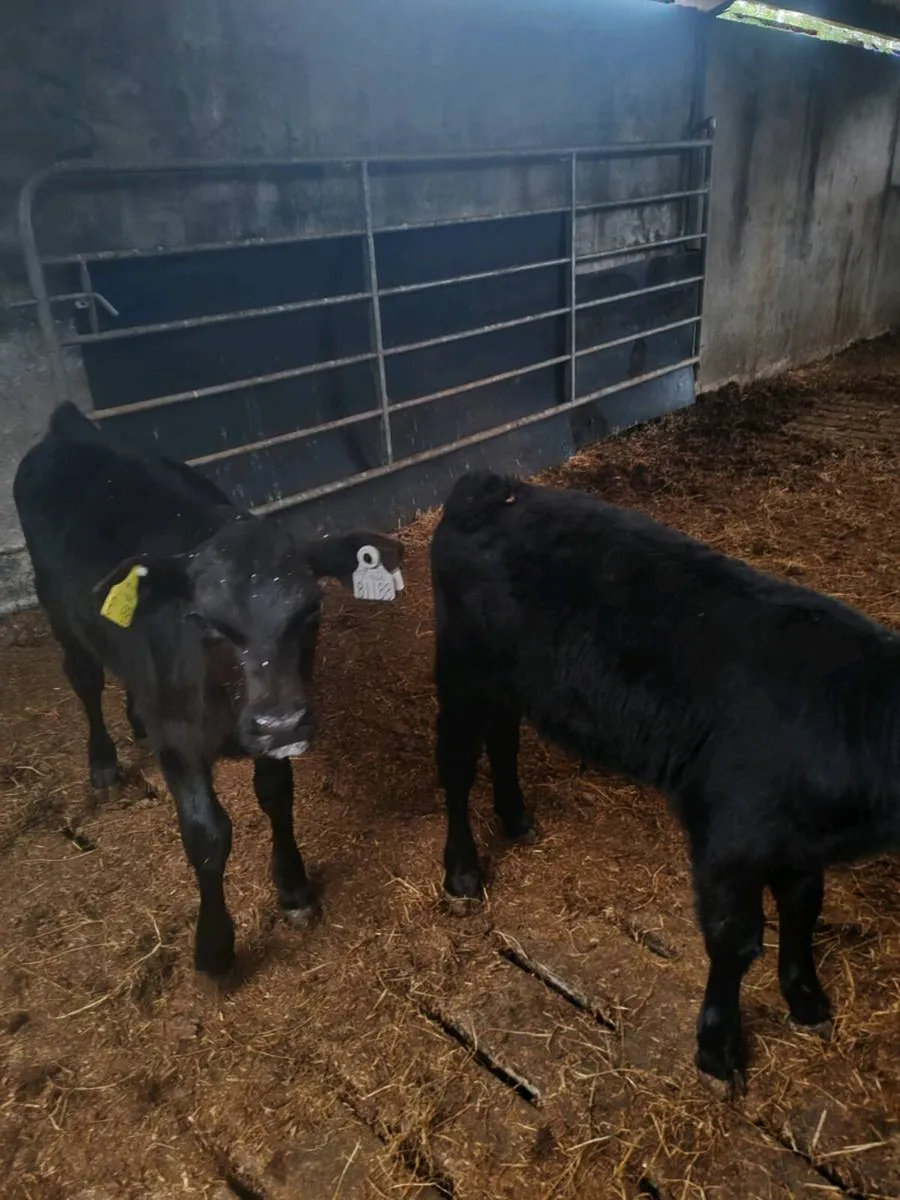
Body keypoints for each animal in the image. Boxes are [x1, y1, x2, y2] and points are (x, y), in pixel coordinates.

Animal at [14, 402, 404, 977]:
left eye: (312, 610)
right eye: (203, 620)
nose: (282, 723)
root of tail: (69, 426)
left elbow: (277, 798)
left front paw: (293, 888)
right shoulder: (178, 739)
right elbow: (207, 833)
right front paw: (215, 949)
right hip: (57, 609)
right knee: (84, 679)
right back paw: (103, 763)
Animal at [429, 469, 900, 1085]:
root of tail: (492, 485)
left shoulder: (795, 843)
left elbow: (803, 907)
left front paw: (807, 1002)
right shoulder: (729, 837)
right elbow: (736, 940)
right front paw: (718, 1051)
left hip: (510, 681)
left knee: (502, 738)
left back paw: (516, 817)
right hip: (462, 671)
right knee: (458, 767)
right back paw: (462, 875)